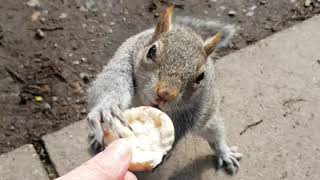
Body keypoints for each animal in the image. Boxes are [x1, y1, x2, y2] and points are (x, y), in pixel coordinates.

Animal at [87, 5, 242, 174]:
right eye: (151, 51)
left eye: (201, 76)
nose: (165, 94)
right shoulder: (124, 58)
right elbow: (111, 83)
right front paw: (107, 108)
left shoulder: (198, 105)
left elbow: (183, 125)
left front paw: (166, 150)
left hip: (209, 118)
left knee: (216, 133)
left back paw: (224, 153)